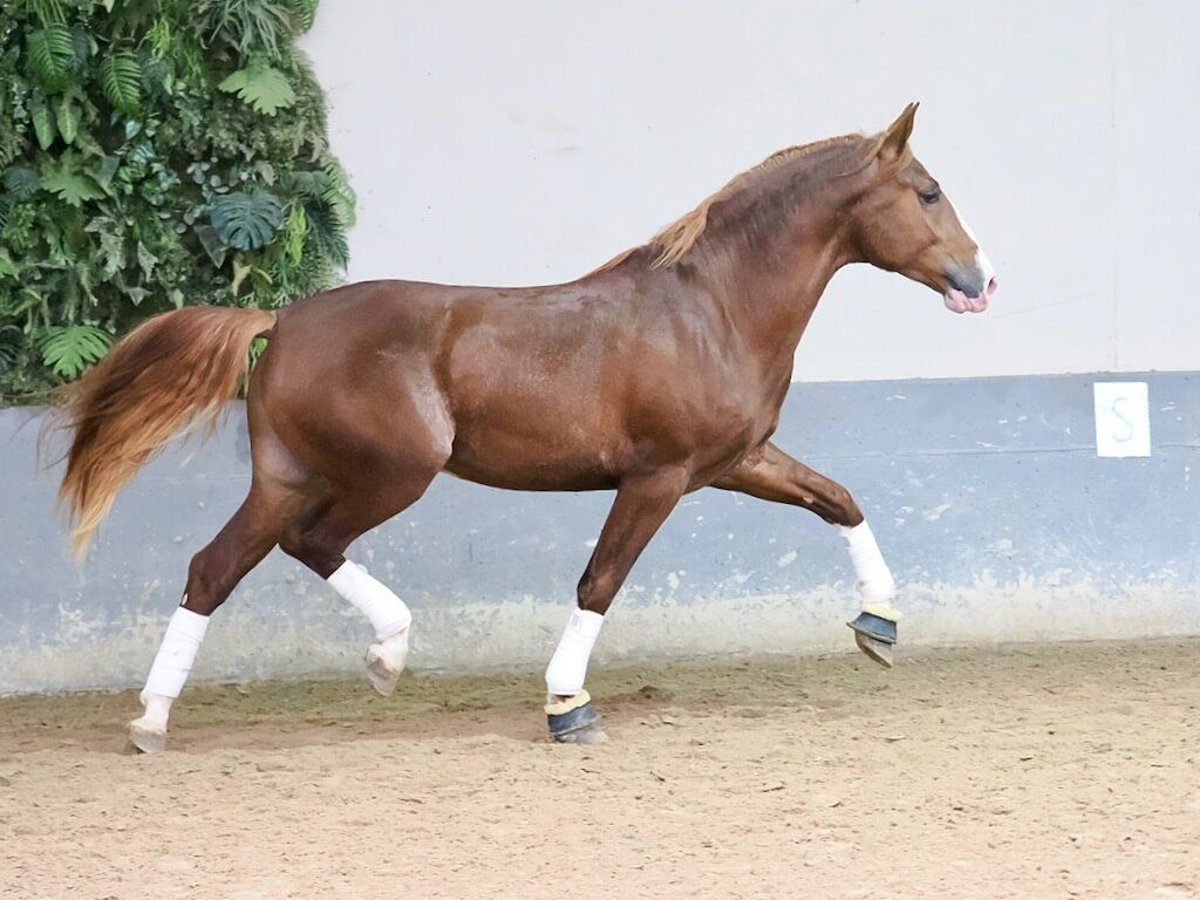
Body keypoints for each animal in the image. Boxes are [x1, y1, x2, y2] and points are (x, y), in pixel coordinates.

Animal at [54, 103, 993, 753]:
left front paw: (879, 625)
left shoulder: (734, 460)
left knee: (213, 571)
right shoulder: (658, 477)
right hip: (389, 473)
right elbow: (599, 583)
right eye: (928, 191)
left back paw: (153, 720)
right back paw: (386, 657)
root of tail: (279, 321)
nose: (982, 279)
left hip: (285, 477)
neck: (712, 307)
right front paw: (568, 707)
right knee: (310, 545)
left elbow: (838, 498)